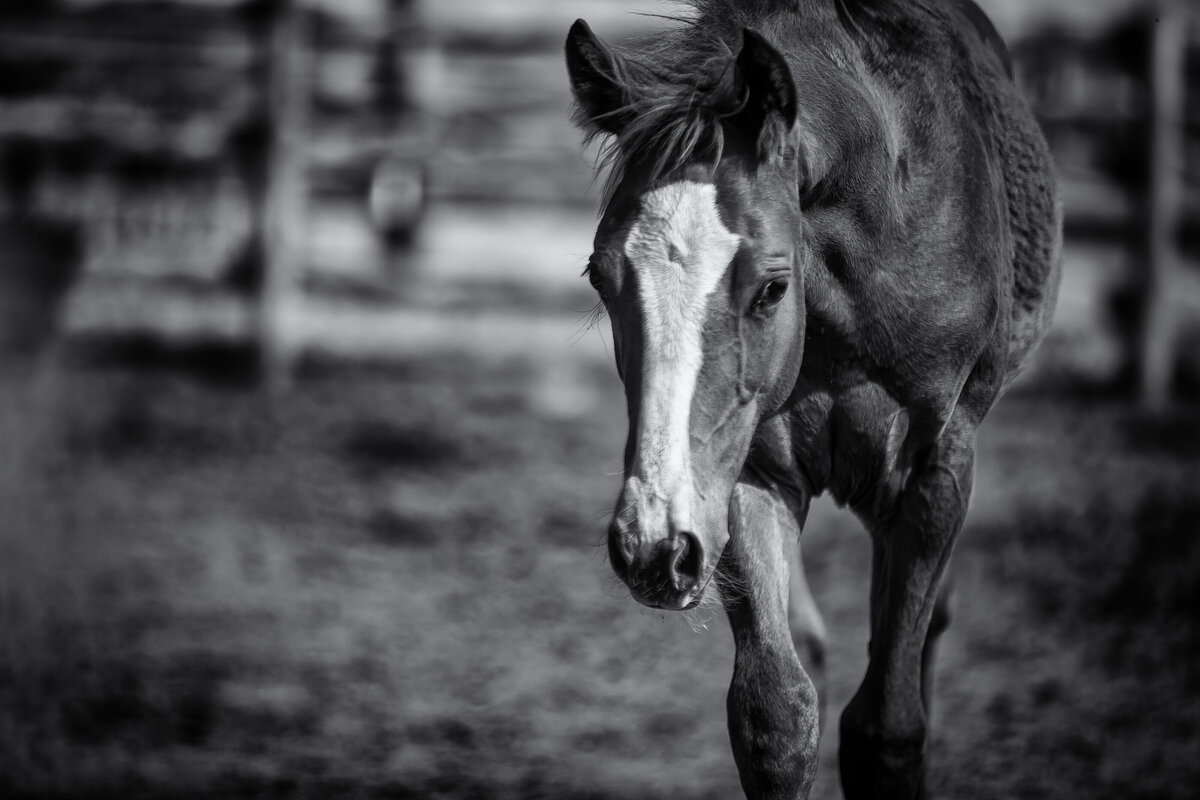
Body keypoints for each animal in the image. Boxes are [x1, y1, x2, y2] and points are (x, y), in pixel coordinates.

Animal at [564, 1, 1060, 800]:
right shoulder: (748, 477)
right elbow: (776, 716)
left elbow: (887, 728)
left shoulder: (932, 473)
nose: (651, 547)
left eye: (772, 287)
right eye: (598, 277)